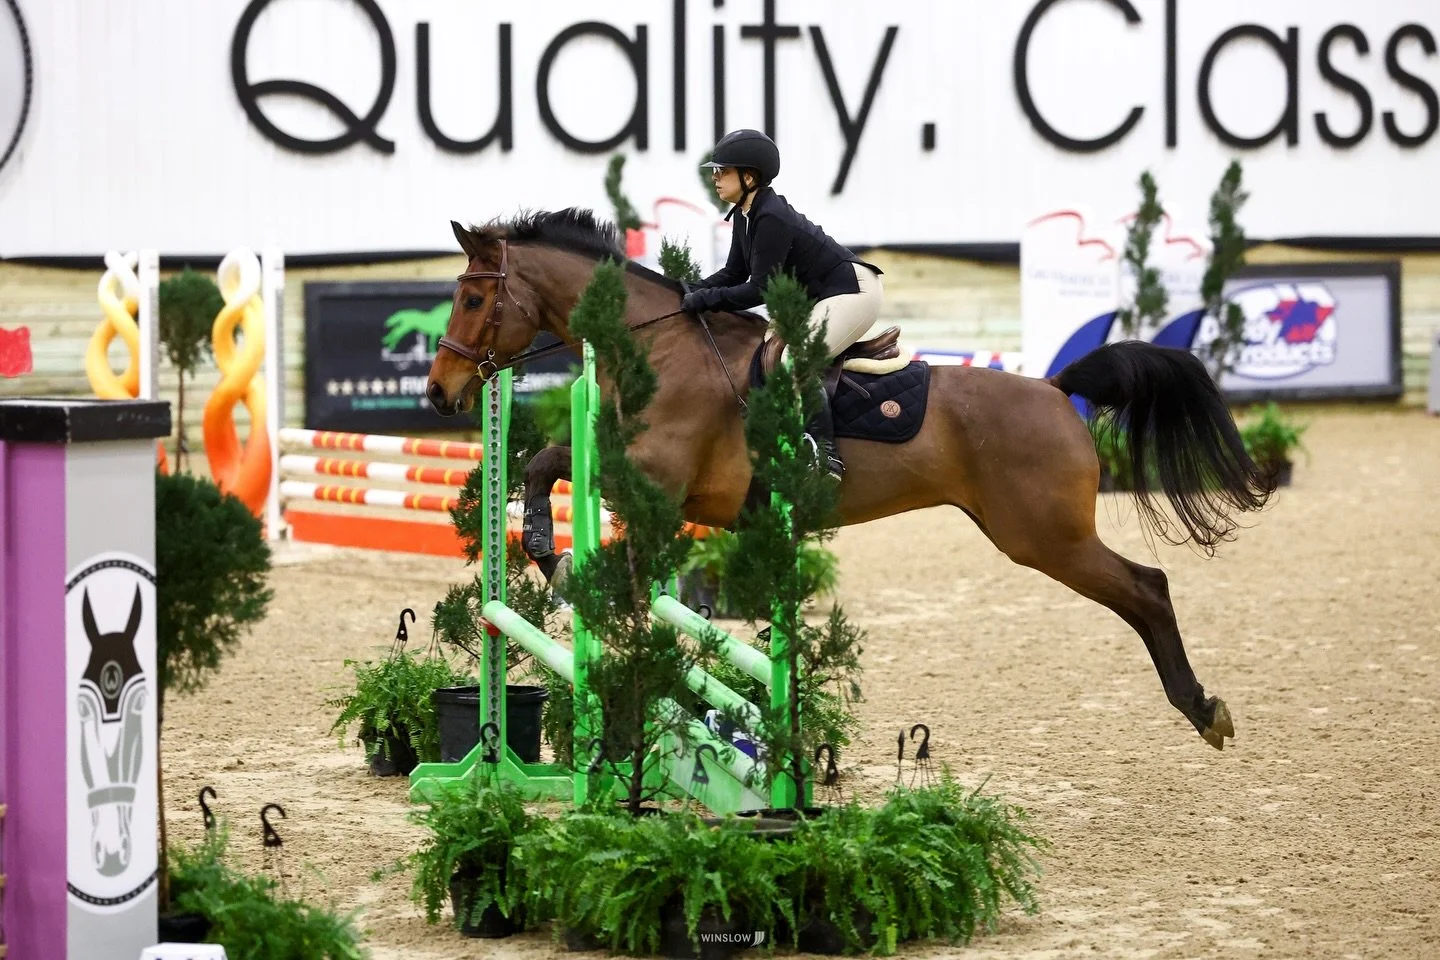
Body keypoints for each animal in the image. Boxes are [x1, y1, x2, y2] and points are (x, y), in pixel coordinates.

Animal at [425, 209, 1275, 751]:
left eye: (474, 297)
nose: (438, 393)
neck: (658, 348)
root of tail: (1054, 387)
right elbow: (540, 466)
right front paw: (545, 548)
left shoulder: (660, 476)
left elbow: (610, 548)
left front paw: (572, 570)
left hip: (1045, 536)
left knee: (1146, 589)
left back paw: (1203, 710)